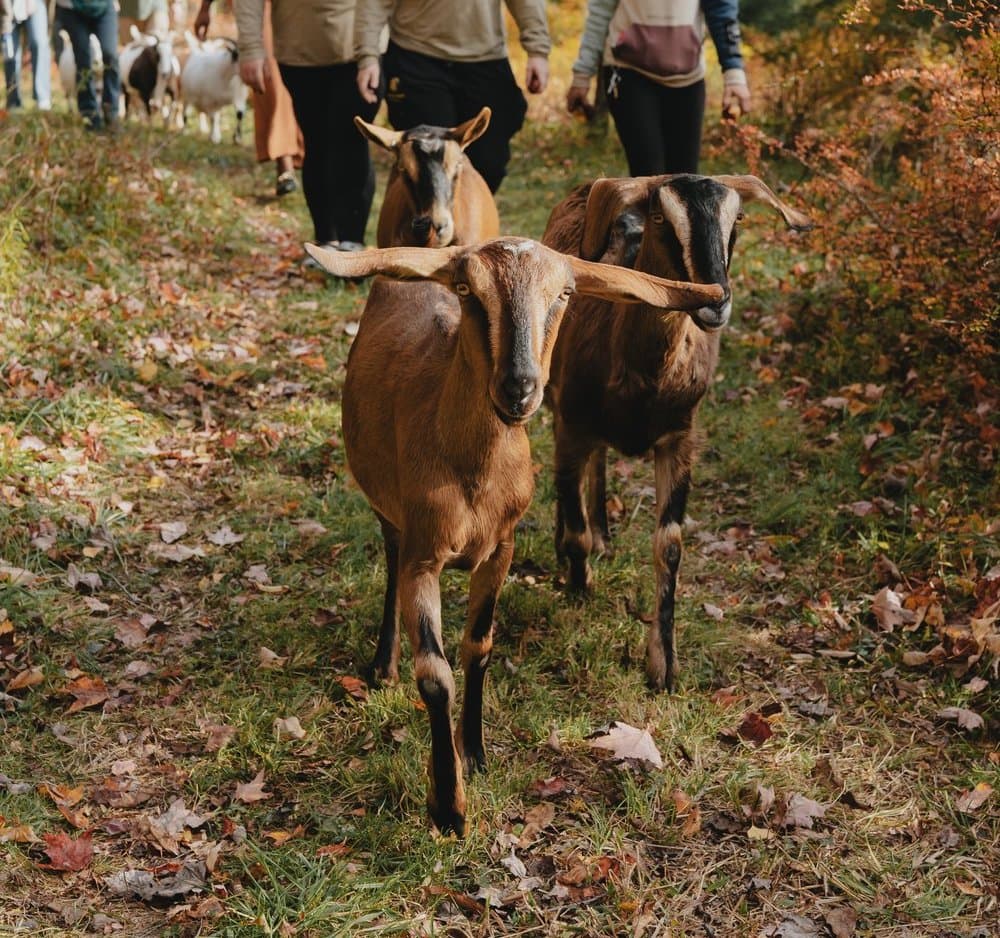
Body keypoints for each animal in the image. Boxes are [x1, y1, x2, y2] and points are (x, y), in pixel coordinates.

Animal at [305, 238, 724, 836]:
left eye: (565, 293)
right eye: (467, 290)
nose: (519, 388)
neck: (471, 476)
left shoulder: (500, 548)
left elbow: (478, 646)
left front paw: (475, 753)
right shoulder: (423, 553)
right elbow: (434, 674)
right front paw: (448, 806)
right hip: (387, 510)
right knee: (388, 560)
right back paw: (382, 665)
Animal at [542, 174, 813, 692]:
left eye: (738, 218)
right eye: (660, 216)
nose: (713, 299)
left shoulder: (680, 439)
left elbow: (669, 546)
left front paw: (663, 663)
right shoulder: (571, 422)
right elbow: (574, 523)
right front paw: (578, 585)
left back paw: (605, 534)